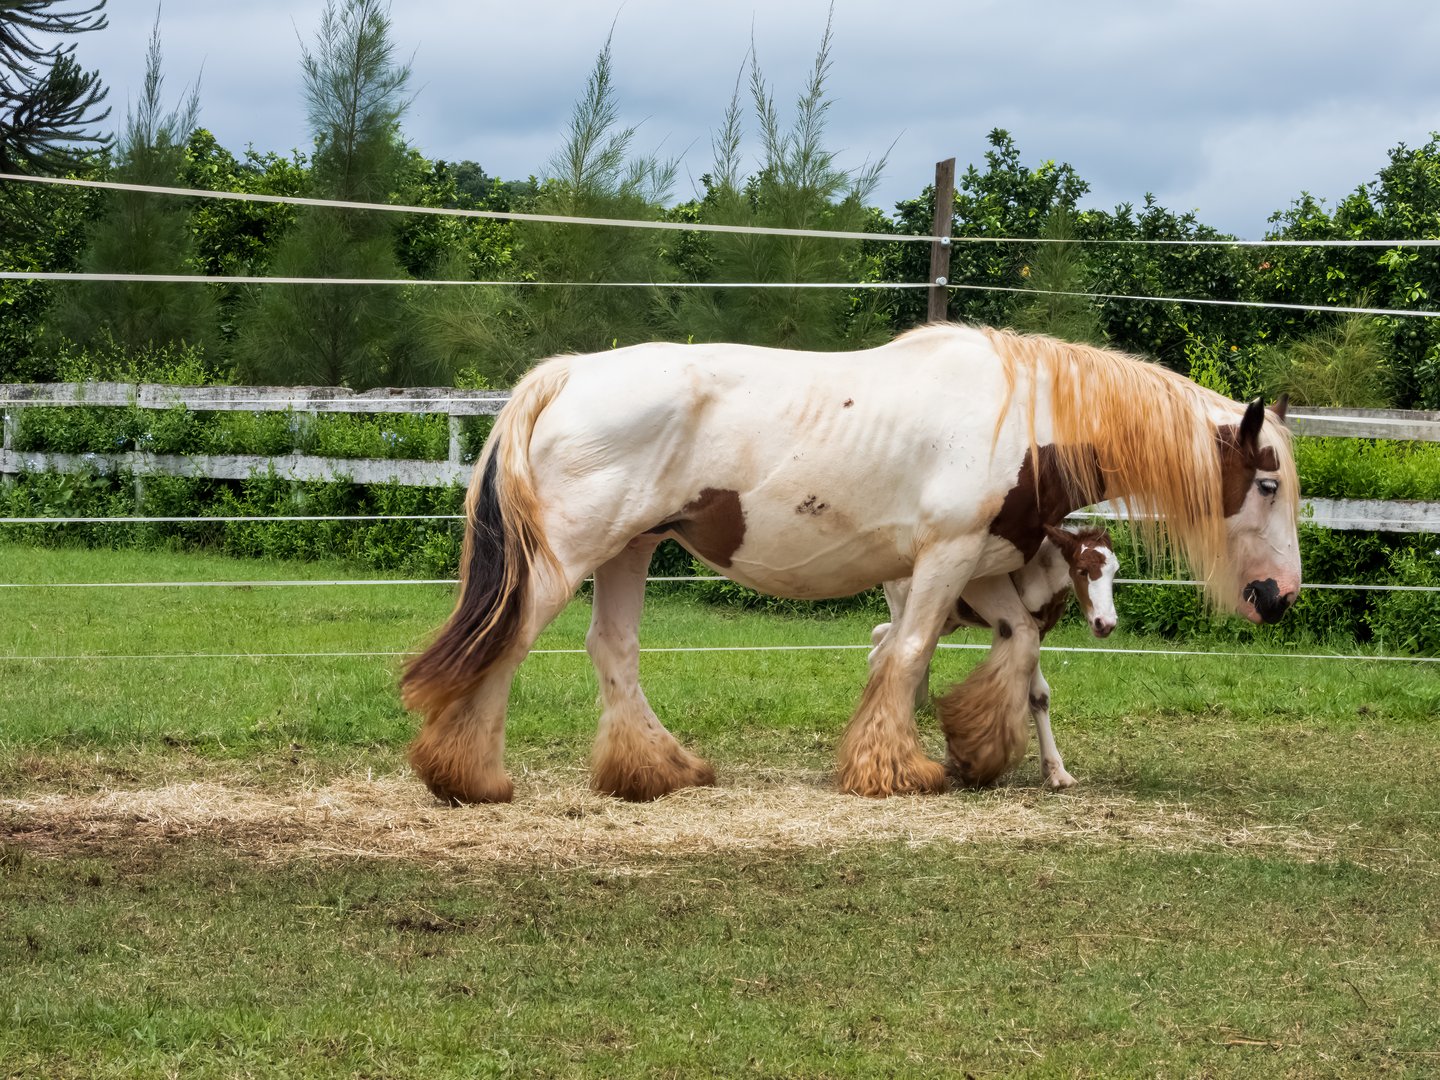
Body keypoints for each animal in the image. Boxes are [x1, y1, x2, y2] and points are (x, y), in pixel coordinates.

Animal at [870, 523, 1119, 790]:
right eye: (1082, 570)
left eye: (1115, 572)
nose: (1105, 623)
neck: (1039, 572)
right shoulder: (1012, 627)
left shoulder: (1035, 631)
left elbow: (1040, 696)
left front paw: (1056, 772)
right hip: (909, 610)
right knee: (884, 653)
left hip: (943, 623)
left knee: (881, 640)